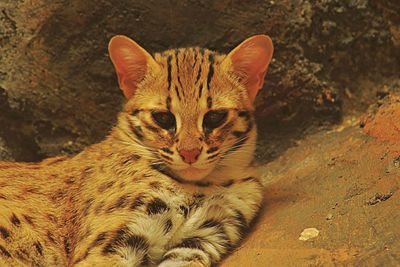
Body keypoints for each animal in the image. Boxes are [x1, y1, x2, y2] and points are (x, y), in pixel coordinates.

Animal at [0, 34, 274, 266]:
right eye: (163, 118)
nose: (190, 154)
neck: (200, 186)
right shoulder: (112, 243)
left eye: (215, 117)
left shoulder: (202, 239)